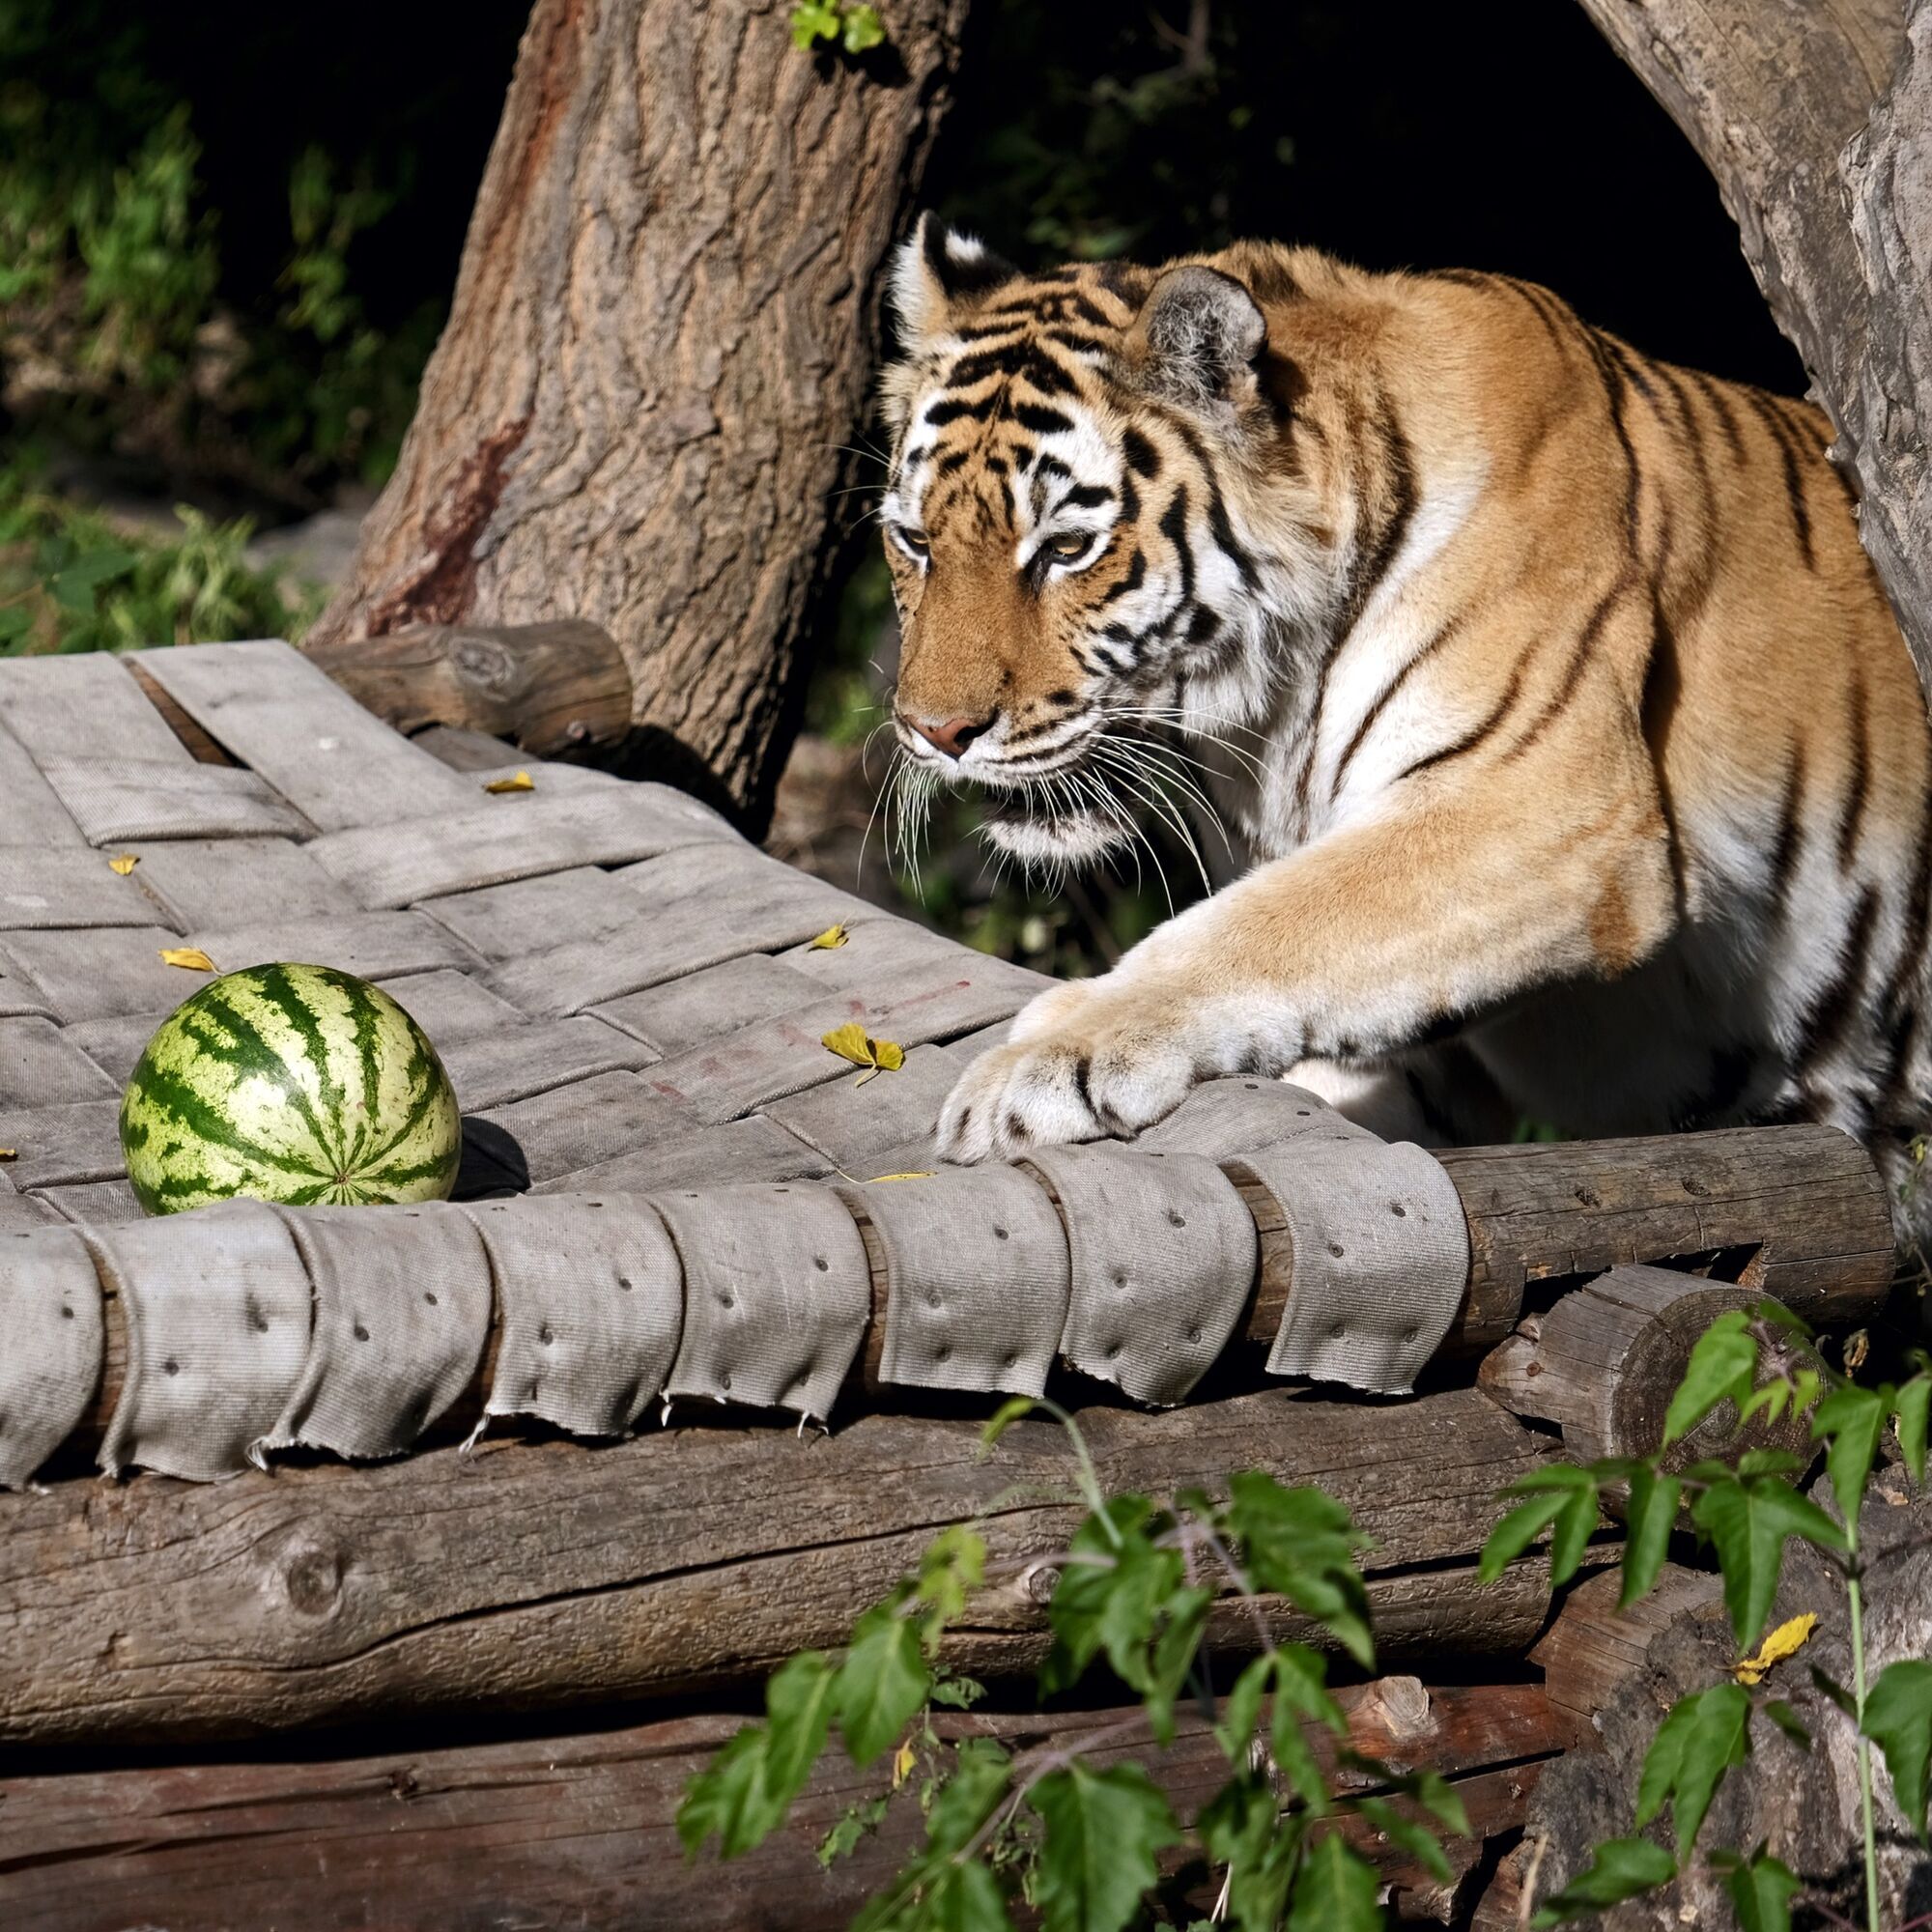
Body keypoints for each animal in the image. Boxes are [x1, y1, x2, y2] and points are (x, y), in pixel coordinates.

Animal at [877, 212, 1932, 1244]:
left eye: (1066, 548)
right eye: (915, 541)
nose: (934, 731)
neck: (1265, 734)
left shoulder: (1541, 806)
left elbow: (1258, 925)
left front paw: (1039, 1063)